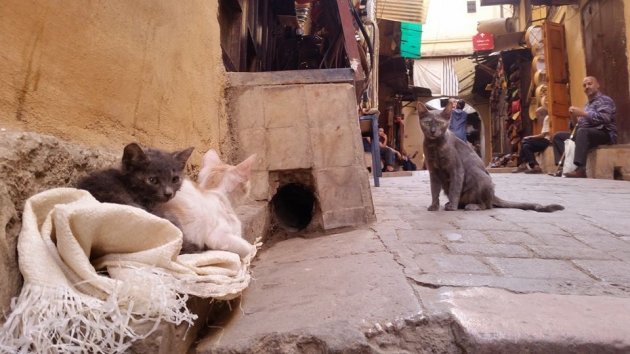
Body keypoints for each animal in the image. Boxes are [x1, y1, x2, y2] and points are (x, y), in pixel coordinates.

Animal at [420, 102, 564, 213]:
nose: (433, 131)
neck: (434, 146)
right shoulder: (433, 171)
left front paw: (452, 207)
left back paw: (471, 206)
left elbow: (455, 189)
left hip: (480, 176)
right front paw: (434, 206)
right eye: (427, 123)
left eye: (439, 123)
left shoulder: (457, 170)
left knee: (487, 205)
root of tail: (494, 195)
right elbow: (434, 190)